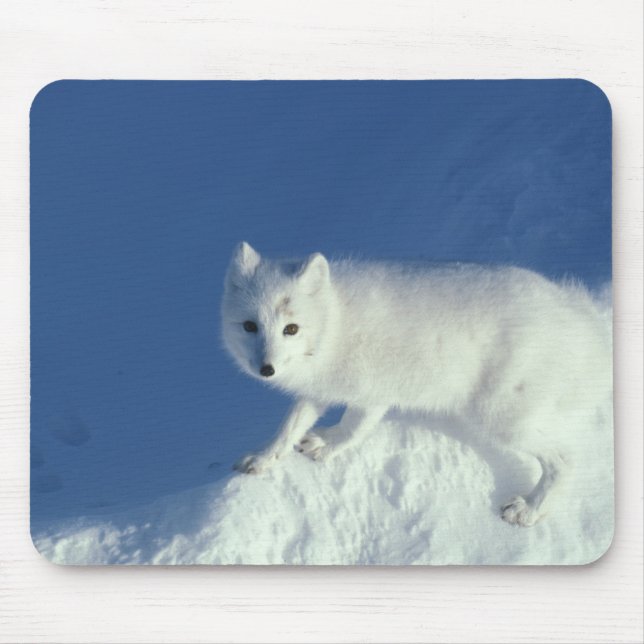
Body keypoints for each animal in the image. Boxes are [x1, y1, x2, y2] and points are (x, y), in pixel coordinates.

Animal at [221, 241, 611, 527]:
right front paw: (263, 458)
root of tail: (576, 316)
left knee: (565, 459)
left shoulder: (373, 392)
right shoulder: (319, 389)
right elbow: (290, 427)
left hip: (501, 416)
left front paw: (328, 447)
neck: (335, 322)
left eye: (291, 328)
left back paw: (530, 508)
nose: (266, 369)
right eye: (250, 326)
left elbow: (354, 428)